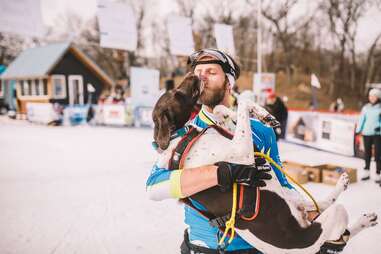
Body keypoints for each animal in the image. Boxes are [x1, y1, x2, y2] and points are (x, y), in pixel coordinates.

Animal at [151, 72, 378, 253]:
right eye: (177, 94)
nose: (195, 73)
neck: (180, 138)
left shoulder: (242, 143)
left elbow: (222, 109)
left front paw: (255, 114)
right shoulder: (241, 153)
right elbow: (241, 102)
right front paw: (257, 111)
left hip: (291, 196)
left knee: (320, 204)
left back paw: (351, 197)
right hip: (328, 220)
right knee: (336, 232)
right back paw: (356, 220)